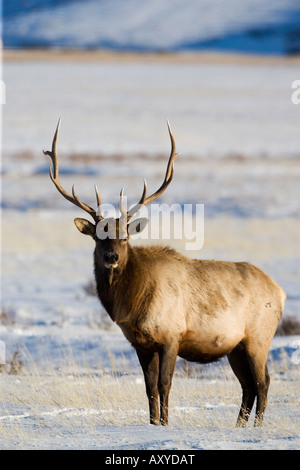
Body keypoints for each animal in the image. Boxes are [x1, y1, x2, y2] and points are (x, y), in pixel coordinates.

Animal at [44, 119, 286, 428]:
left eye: (125, 237)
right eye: (98, 236)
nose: (111, 257)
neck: (131, 305)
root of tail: (280, 290)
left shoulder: (172, 335)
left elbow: (165, 383)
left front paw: (166, 424)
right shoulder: (140, 343)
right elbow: (149, 386)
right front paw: (153, 423)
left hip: (259, 336)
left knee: (263, 381)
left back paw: (256, 427)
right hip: (236, 346)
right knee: (247, 385)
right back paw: (239, 426)